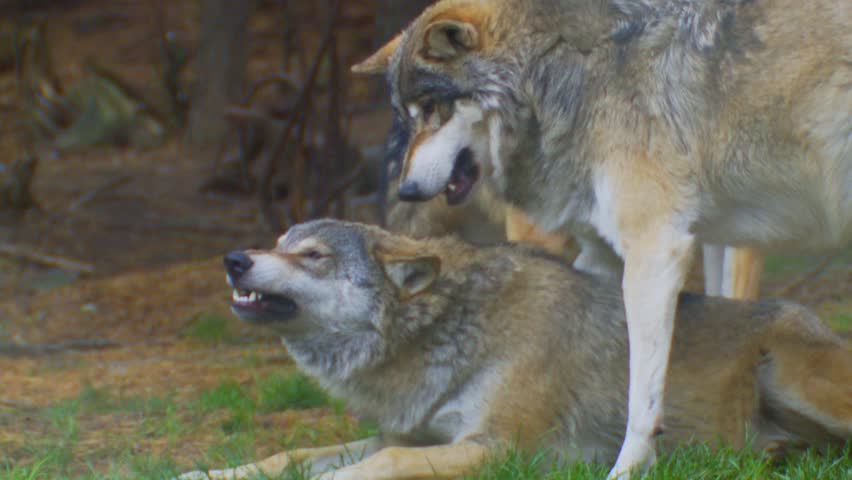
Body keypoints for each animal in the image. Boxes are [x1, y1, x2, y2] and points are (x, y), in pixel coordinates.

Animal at [177, 220, 852, 480]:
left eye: (313, 255)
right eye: (277, 243)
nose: (234, 259)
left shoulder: (496, 447)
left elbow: (374, 465)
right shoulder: (412, 434)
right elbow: (290, 453)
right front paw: (206, 472)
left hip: (790, 376)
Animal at [352, 0, 852, 475]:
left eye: (432, 107)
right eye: (408, 114)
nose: (407, 189)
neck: (565, 74)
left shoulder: (656, 250)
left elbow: (641, 396)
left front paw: (628, 468)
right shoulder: (609, 254)